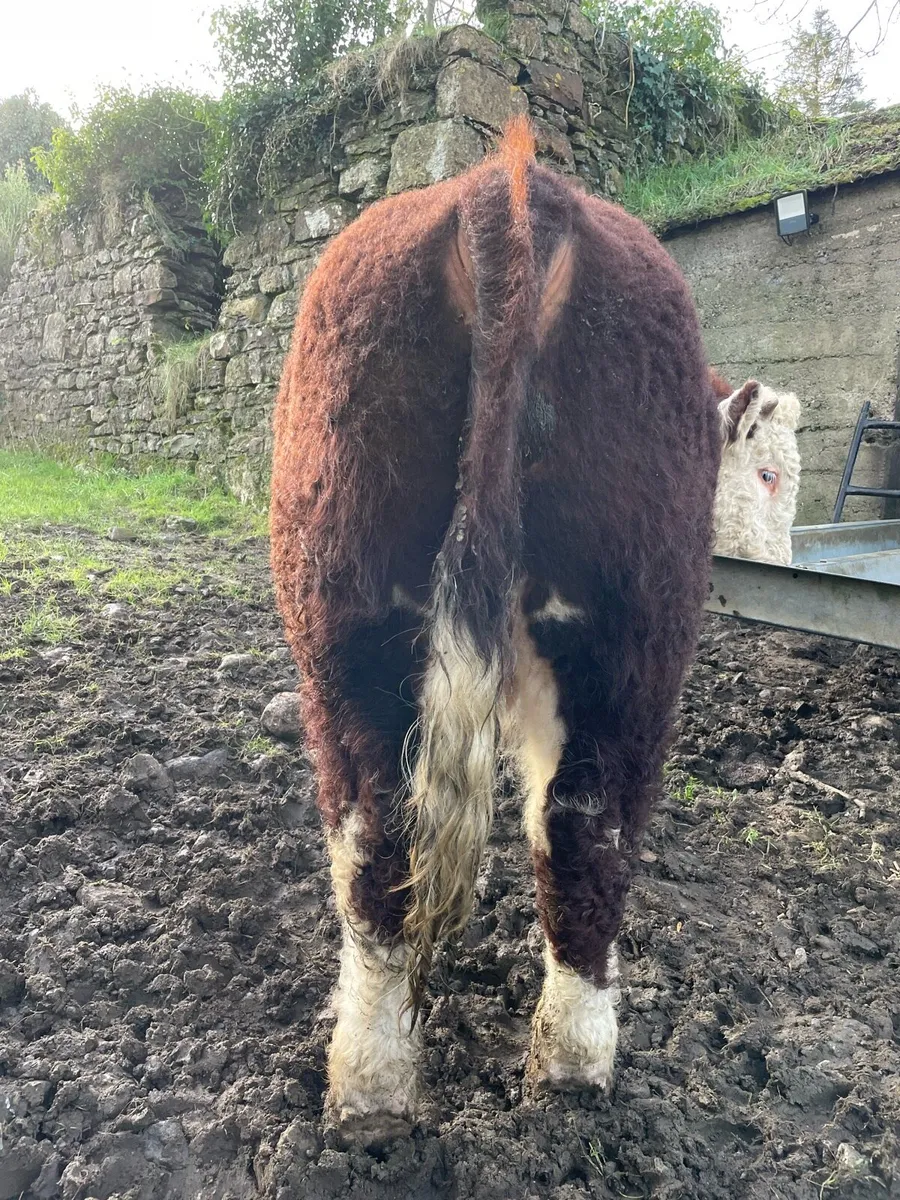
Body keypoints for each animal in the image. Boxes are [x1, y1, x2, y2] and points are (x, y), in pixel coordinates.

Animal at [270, 118, 723, 1141]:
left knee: (381, 843)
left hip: (346, 630)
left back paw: (370, 1093)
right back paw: (567, 1077)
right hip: (632, 638)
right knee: (584, 836)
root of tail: (509, 191)